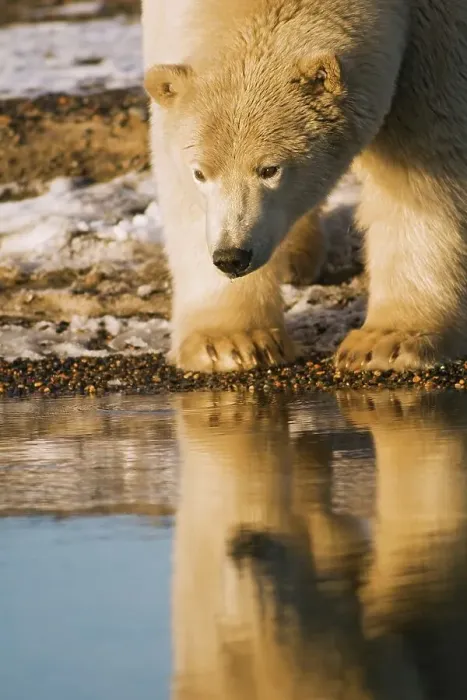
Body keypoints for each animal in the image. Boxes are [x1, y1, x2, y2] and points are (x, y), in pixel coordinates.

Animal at [142, 0, 467, 372]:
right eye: (200, 173)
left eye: (270, 169)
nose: (232, 257)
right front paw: (231, 342)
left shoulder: (435, 30)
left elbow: (424, 163)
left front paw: (386, 342)